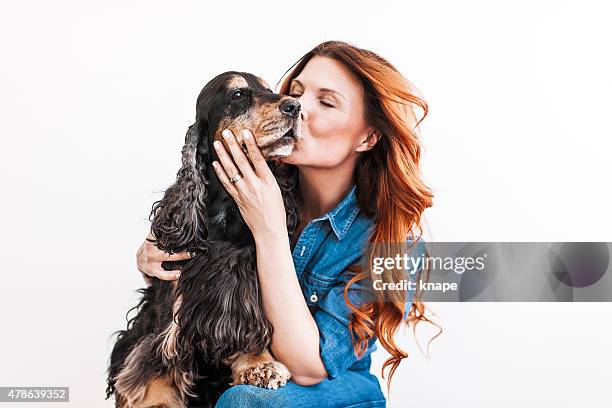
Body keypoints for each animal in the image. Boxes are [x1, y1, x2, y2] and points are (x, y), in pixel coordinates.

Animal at [108, 72, 304, 408]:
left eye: (269, 88)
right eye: (238, 94)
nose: (295, 107)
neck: (225, 207)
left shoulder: (245, 279)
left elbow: (251, 330)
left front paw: (260, 366)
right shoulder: (173, 293)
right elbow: (158, 352)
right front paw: (156, 397)